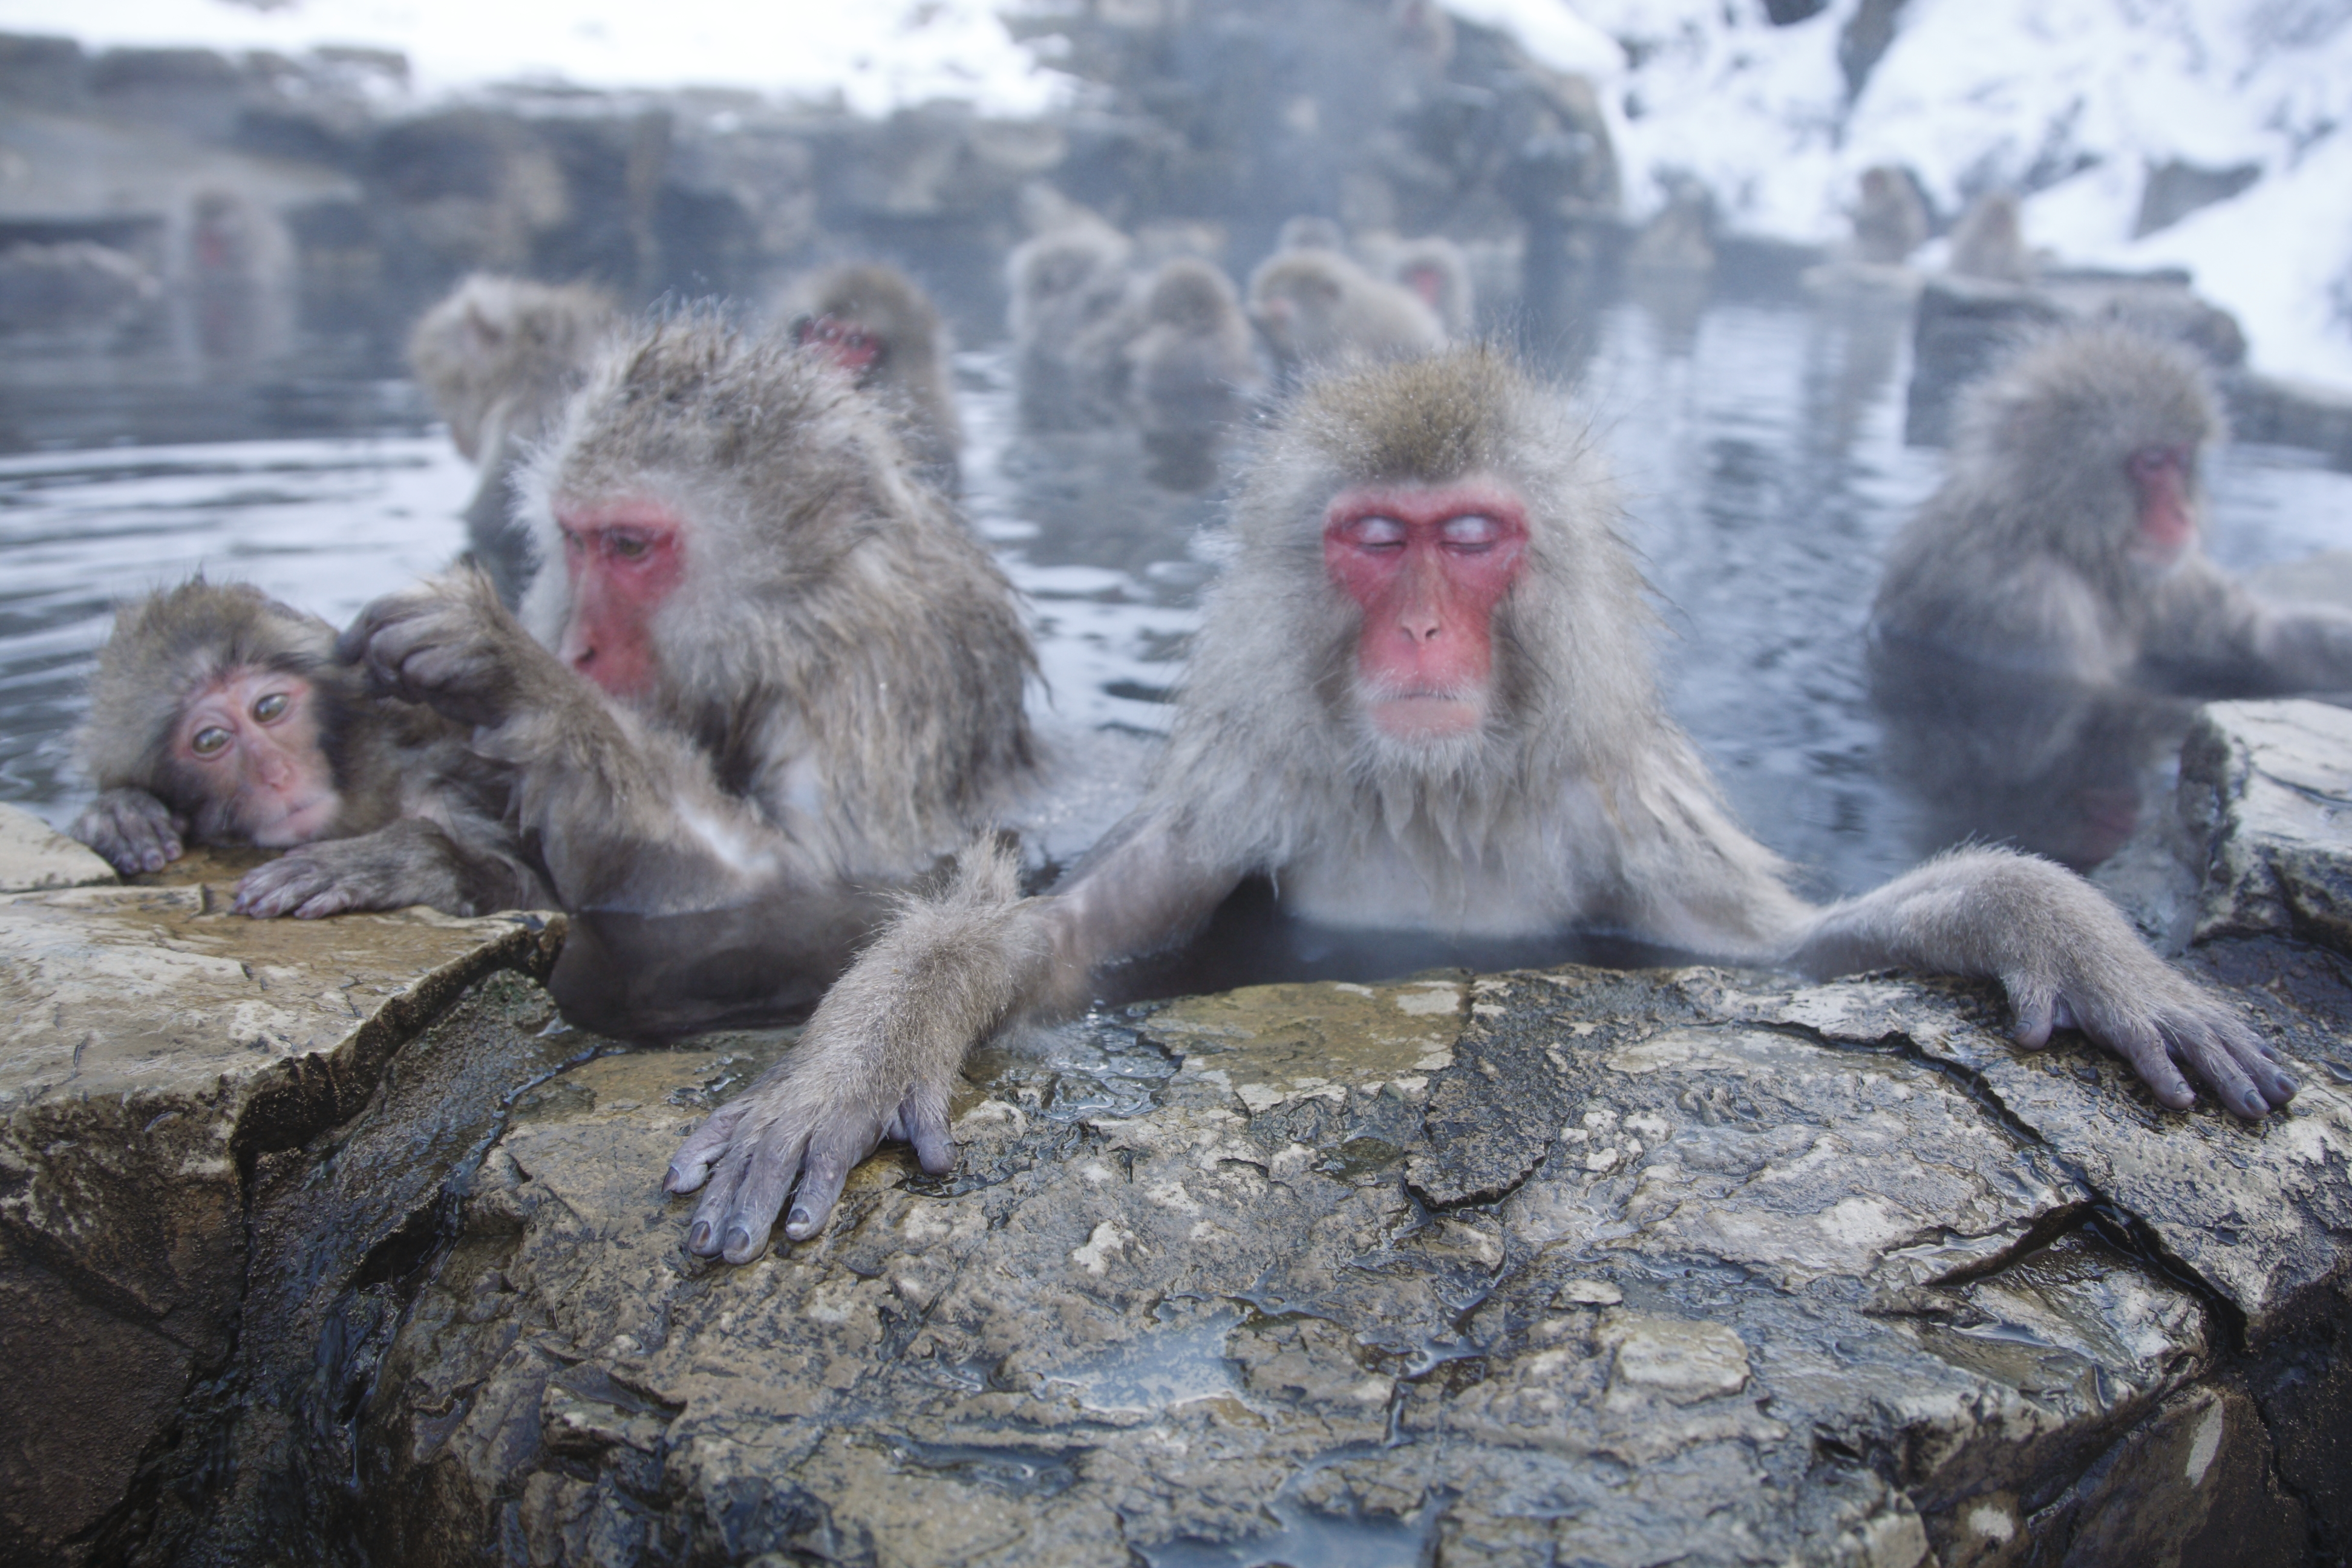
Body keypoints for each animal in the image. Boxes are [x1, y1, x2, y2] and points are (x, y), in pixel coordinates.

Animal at [70, 577, 547, 919]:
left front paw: (394, 862)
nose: (276, 774)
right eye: (210, 740)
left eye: (269, 708)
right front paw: (119, 813)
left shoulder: (444, 782)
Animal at [340, 316, 1040, 1040]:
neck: (780, 624)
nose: (574, 649)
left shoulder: (872, 684)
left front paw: (517, 676)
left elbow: (803, 889)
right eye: (576, 540)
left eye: (629, 546)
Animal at [665, 346, 2295, 1264]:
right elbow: (1055, 949)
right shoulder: (1244, 797)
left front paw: (2057, 927)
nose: (1427, 633)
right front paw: (858, 1055)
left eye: (1471, 538)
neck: (1433, 794)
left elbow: (1782, 954)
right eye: (1378, 541)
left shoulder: (1626, 812)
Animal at [1870, 325, 2352, 862]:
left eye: (2182, 458)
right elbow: (2081, 696)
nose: (2183, 515)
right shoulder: (2022, 598)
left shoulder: (2171, 582)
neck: (2066, 541)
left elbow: (2266, 642)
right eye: (2151, 461)